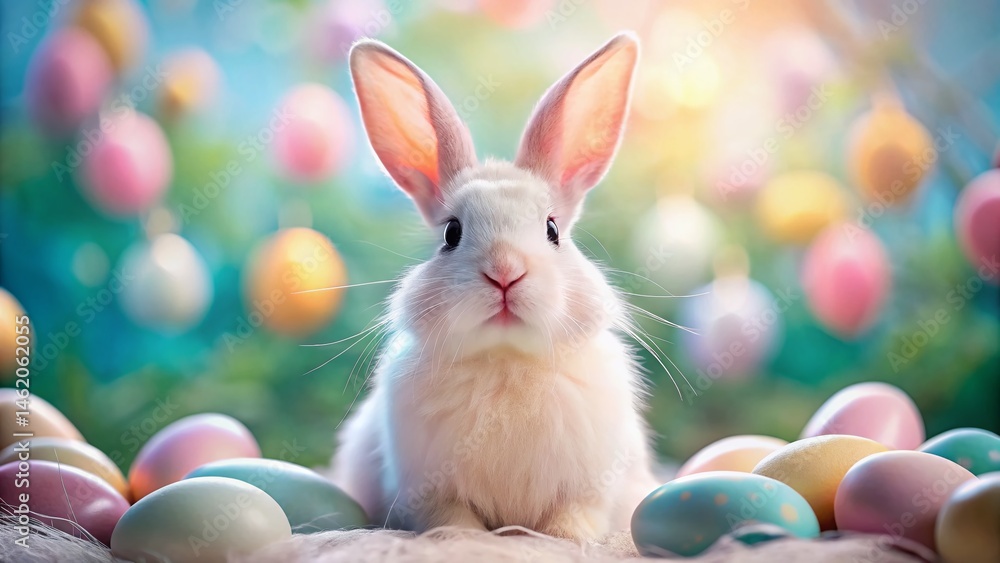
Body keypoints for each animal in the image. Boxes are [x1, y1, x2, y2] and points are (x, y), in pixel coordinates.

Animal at [331, 32, 660, 541]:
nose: (505, 272)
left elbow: (572, 519)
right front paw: (461, 540)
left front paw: (565, 539)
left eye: (552, 229)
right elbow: (453, 520)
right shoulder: (430, 491)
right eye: (452, 233)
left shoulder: (590, 487)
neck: (506, 361)